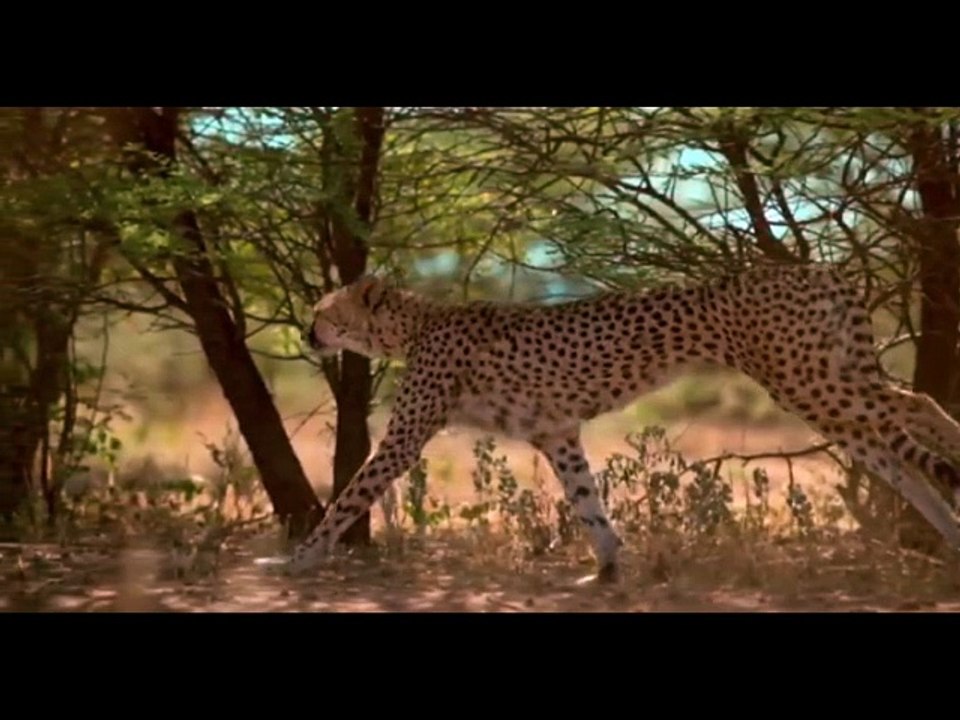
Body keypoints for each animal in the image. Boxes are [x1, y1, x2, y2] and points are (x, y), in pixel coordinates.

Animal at [287, 264, 960, 582]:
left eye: (324, 311)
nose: (308, 335)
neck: (413, 324)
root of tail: (812, 265)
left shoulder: (405, 438)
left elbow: (349, 496)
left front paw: (301, 560)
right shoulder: (556, 433)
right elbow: (587, 501)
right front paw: (607, 567)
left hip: (805, 381)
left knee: (911, 411)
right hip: (829, 380)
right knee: (900, 438)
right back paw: (951, 531)